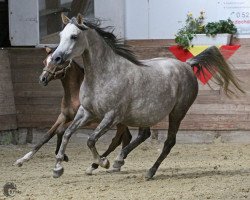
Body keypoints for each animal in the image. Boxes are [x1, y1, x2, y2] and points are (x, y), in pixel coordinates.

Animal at [13, 47, 143, 173]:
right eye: (45, 61)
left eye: (58, 62)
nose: (42, 79)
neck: (74, 94)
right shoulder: (63, 116)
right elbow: (46, 136)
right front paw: (22, 160)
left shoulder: (87, 119)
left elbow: (60, 130)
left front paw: (63, 156)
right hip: (120, 122)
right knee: (126, 138)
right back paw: (116, 164)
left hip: (117, 121)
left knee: (117, 140)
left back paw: (97, 164)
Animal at [50, 14, 244, 180]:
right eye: (60, 35)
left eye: (74, 36)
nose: (56, 58)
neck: (104, 74)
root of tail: (187, 65)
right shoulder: (86, 112)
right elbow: (67, 133)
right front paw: (58, 168)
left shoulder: (112, 116)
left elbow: (90, 140)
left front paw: (103, 162)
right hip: (146, 113)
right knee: (144, 134)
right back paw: (118, 161)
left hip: (177, 112)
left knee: (169, 142)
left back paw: (149, 171)